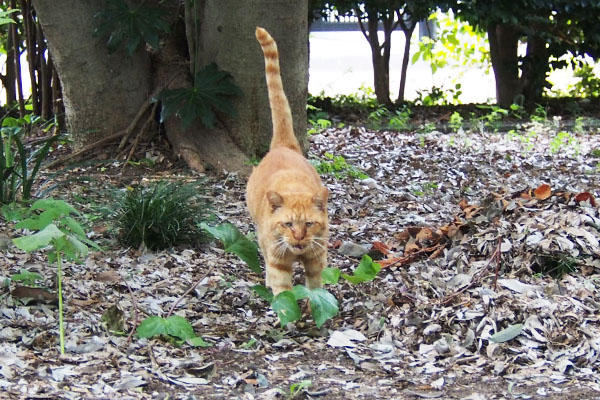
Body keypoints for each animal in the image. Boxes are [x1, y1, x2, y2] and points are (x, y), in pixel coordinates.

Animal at [247, 26, 330, 296]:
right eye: (288, 224)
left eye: (309, 224)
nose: (299, 237)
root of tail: (282, 145)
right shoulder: (278, 262)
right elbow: (283, 294)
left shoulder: (317, 258)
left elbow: (315, 290)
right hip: (260, 235)